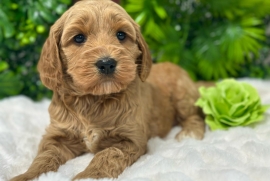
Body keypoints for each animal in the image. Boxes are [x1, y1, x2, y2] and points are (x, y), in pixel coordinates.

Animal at [10, 0, 205, 180]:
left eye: (121, 35)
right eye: (79, 38)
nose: (106, 63)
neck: (93, 99)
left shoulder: (130, 139)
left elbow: (107, 156)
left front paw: (87, 176)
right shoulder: (57, 136)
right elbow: (44, 158)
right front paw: (26, 176)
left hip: (183, 96)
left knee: (194, 116)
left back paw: (190, 133)